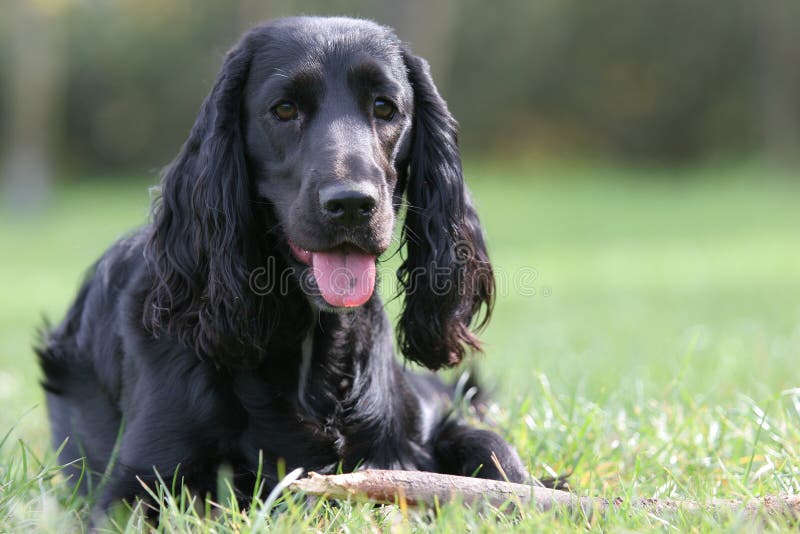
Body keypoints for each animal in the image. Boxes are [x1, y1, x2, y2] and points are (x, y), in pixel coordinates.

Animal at [39, 14, 532, 512]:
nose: (352, 204)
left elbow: (493, 448)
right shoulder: (139, 484)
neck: (310, 341)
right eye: (284, 109)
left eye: (384, 106)